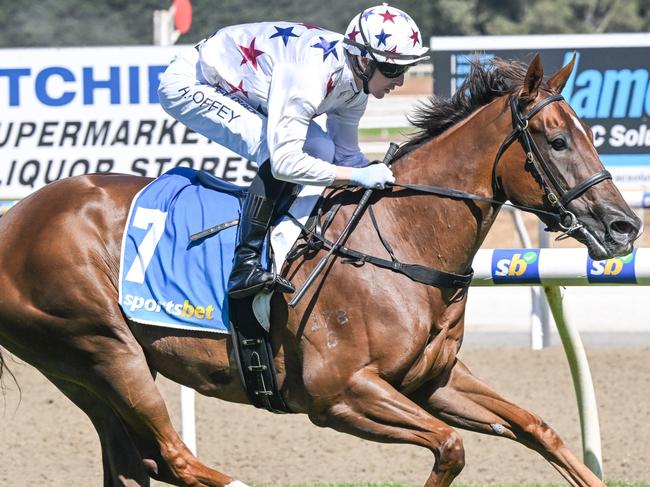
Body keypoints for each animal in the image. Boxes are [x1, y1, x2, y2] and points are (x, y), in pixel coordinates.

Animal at [0, 53, 636, 487]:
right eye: (557, 141)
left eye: (588, 134)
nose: (624, 227)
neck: (403, 242)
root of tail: (15, 219)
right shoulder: (338, 394)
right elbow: (450, 447)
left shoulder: (433, 382)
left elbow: (536, 427)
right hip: (106, 347)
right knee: (174, 458)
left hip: (84, 374)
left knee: (137, 463)